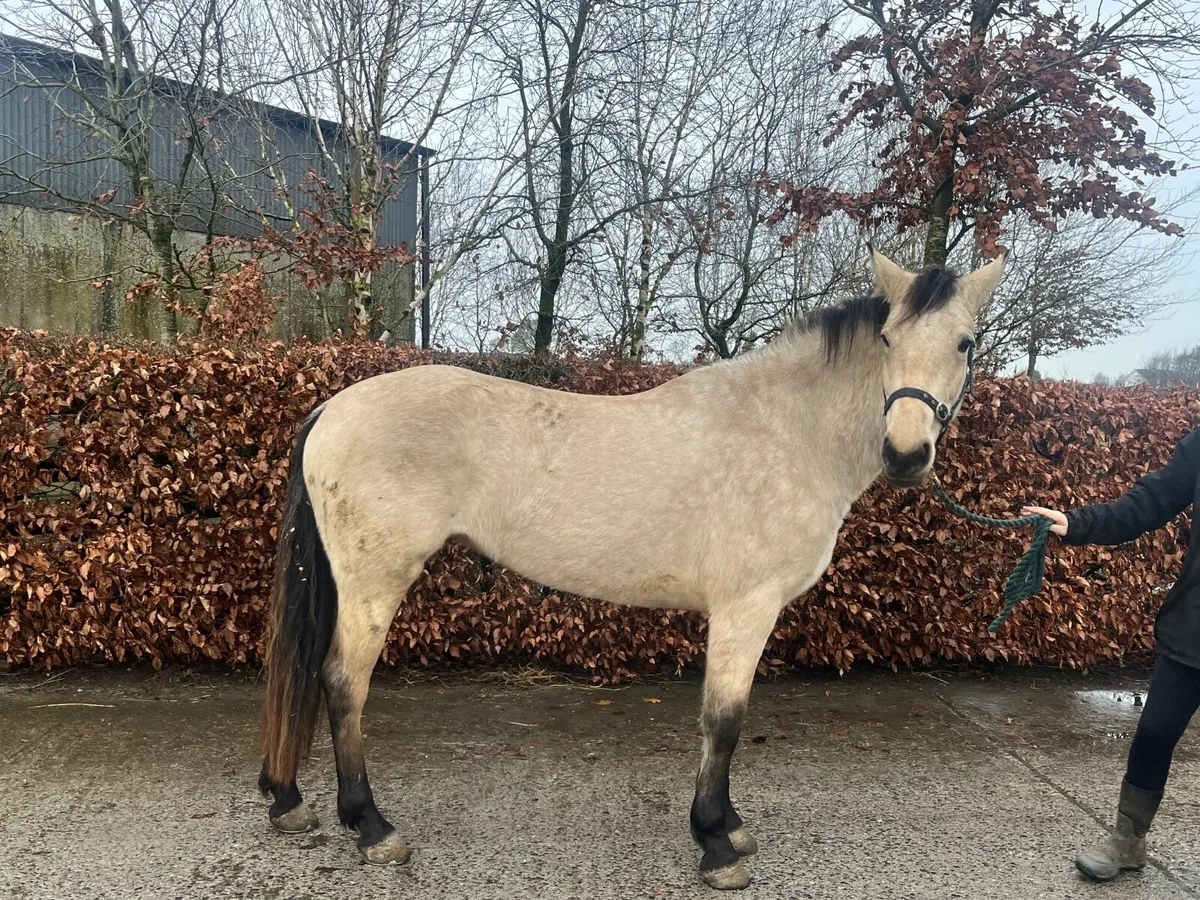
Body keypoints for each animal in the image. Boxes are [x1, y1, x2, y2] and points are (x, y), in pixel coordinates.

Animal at [258, 246, 1007, 890]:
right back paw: (371, 827)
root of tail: (331, 409)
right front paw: (715, 844)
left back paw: (289, 800)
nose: (906, 455)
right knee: (342, 683)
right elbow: (725, 719)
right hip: (374, 583)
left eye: (964, 343)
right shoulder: (745, 607)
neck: (785, 431)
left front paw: (729, 826)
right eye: (887, 340)